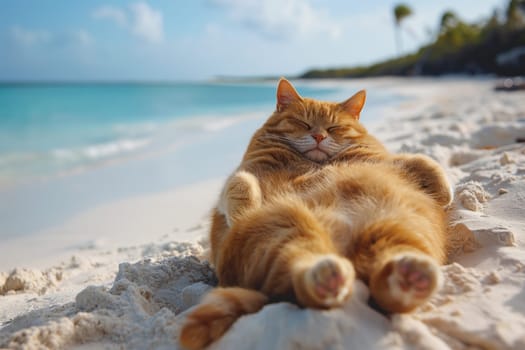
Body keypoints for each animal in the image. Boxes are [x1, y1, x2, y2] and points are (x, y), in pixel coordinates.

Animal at [179, 79, 450, 350]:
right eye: (304, 124)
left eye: (334, 127)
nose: (318, 136)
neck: (314, 163)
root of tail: (346, 254)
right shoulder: (243, 175)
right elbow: (240, 185)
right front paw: (243, 212)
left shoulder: (384, 162)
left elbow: (421, 161)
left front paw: (445, 193)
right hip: (284, 229)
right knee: (302, 276)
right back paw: (331, 277)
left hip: (393, 227)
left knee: (387, 290)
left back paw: (410, 278)